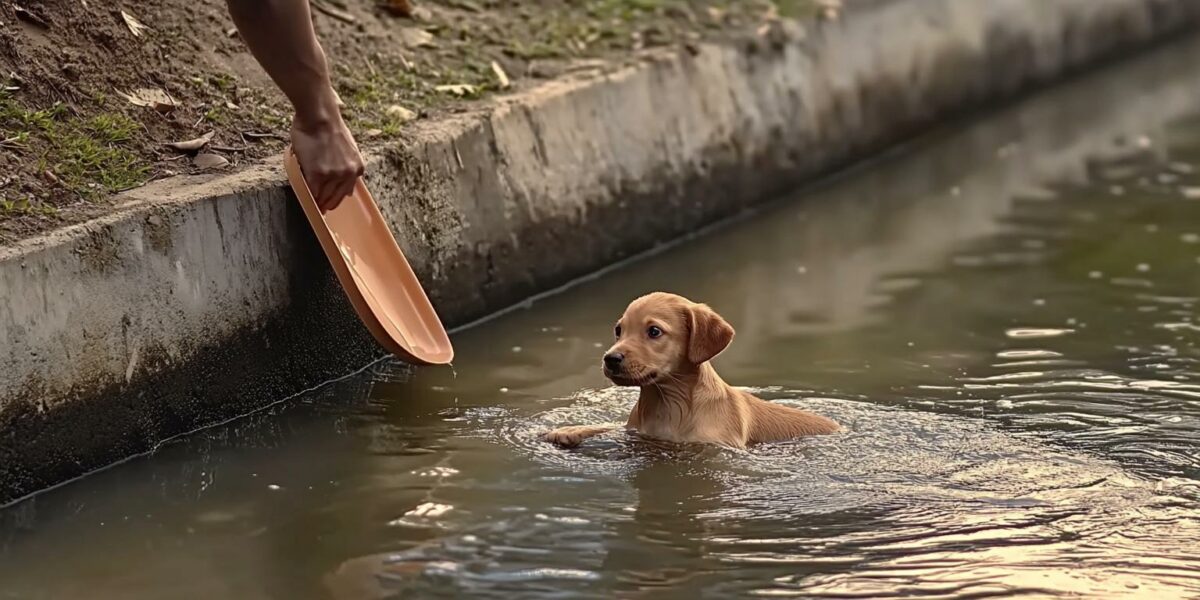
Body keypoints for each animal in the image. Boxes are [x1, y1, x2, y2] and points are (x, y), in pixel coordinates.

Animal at [547, 292, 840, 448]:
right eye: (619, 330)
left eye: (654, 331)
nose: (611, 359)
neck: (668, 404)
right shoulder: (637, 434)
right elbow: (607, 427)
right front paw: (571, 430)